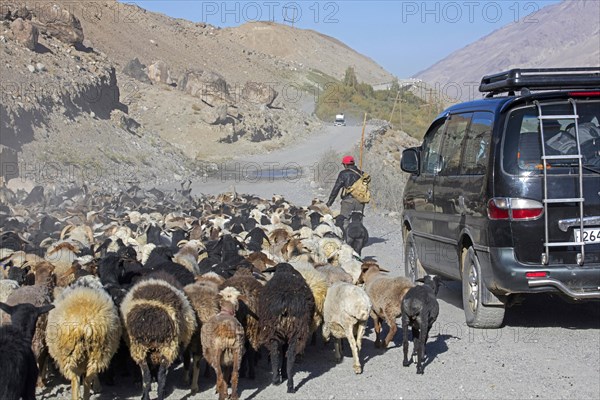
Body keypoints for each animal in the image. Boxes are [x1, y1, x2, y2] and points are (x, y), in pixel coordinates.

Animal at [258, 262, 314, 394]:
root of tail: (285, 303)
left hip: (275, 331)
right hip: (294, 332)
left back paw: (277, 380)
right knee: (288, 355)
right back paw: (289, 384)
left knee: (277, 353)